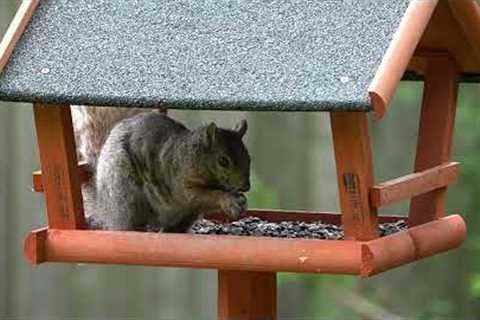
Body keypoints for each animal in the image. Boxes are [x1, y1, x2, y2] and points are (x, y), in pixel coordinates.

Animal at [72, 106, 251, 231]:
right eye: (223, 161)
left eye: (248, 157)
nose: (246, 186)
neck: (192, 157)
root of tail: (105, 211)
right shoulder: (180, 182)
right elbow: (199, 196)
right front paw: (228, 200)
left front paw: (240, 201)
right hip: (126, 194)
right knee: (128, 226)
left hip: (187, 215)